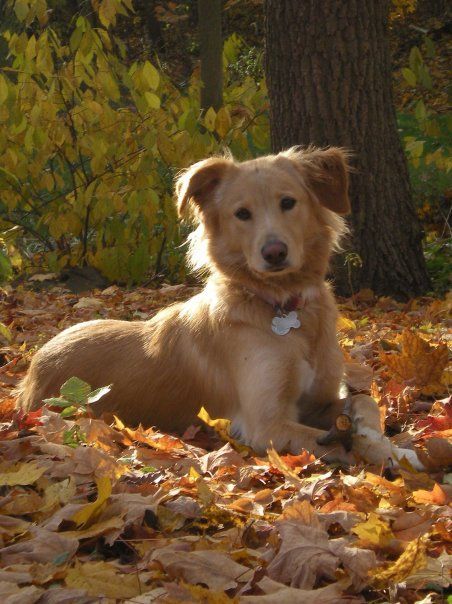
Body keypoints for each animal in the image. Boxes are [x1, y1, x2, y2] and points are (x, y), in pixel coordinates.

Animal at [15, 146, 382, 462]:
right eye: (242, 214)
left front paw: (384, 446)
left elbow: (365, 402)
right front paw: (369, 455)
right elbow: (333, 444)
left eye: (288, 202)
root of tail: (33, 368)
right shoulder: (266, 425)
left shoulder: (320, 401)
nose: (274, 253)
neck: (283, 308)